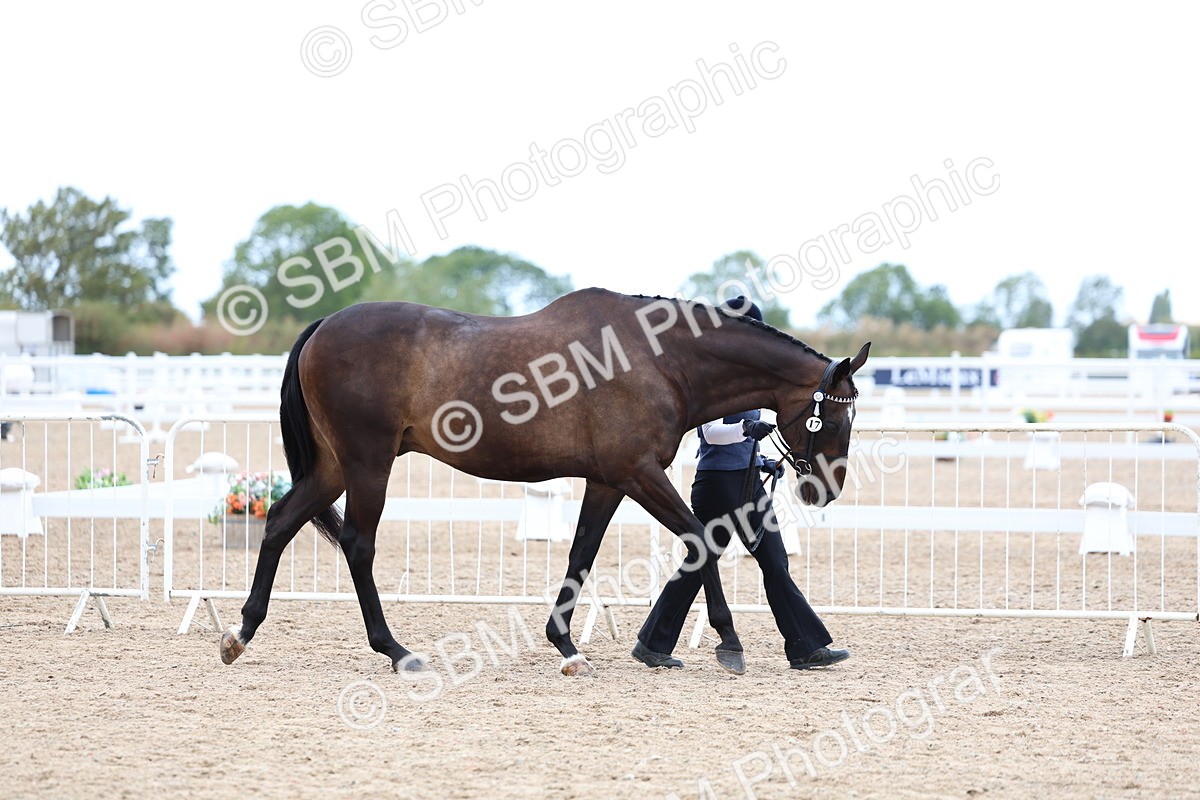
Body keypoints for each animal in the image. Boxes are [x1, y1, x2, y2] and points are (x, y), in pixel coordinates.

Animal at [218, 288, 870, 676]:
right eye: (837, 416)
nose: (826, 489)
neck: (659, 360)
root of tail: (326, 323)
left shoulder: (609, 480)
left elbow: (583, 552)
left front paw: (566, 644)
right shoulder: (638, 471)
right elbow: (699, 537)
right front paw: (729, 642)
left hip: (334, 466)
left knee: (280, 522)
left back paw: (240, 633)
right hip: (367, 463)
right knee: (356, 545)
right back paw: (396, 651)